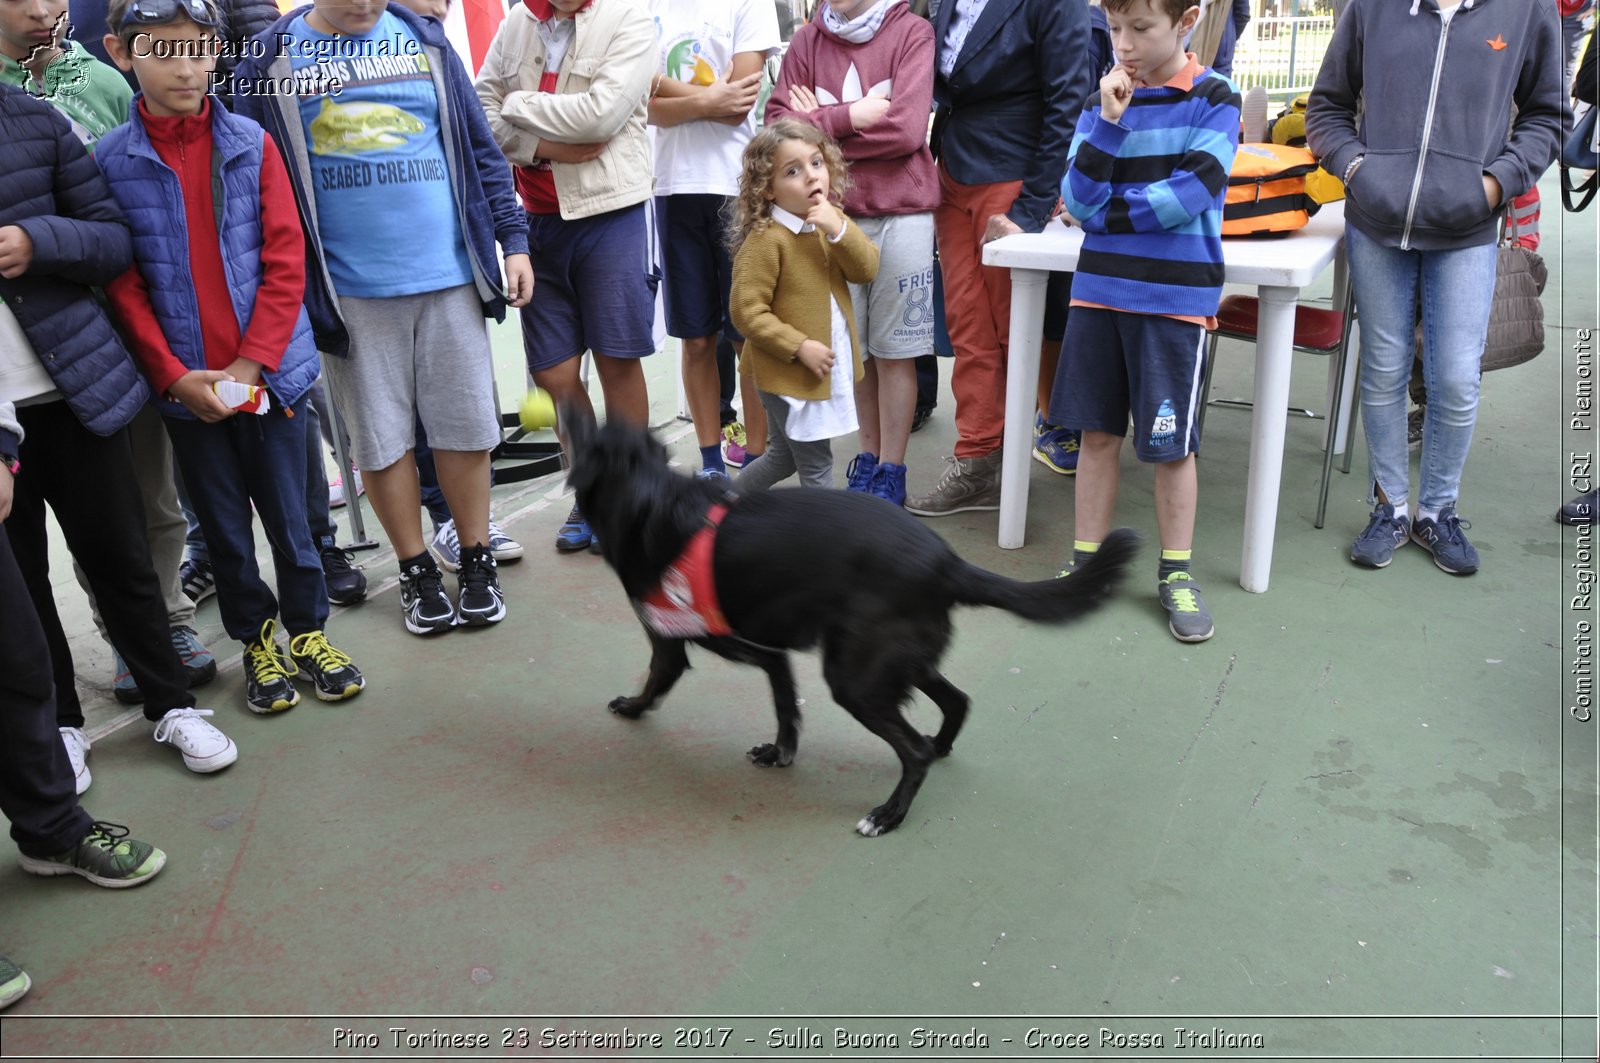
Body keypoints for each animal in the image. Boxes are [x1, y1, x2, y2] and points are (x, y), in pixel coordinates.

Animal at [566, 416, 1139, 838]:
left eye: (588, 431)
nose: (571, 406)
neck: (648, 497)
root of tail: (945, 562)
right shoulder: (769, 652)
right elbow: (785, 705)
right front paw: (780, 751)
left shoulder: (681, 645)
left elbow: (656, 681)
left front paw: (632, 707)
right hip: (890, 660)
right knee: (954, 703)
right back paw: (940, 746)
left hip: (857, 678)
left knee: (913, 750)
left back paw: (889, 814)